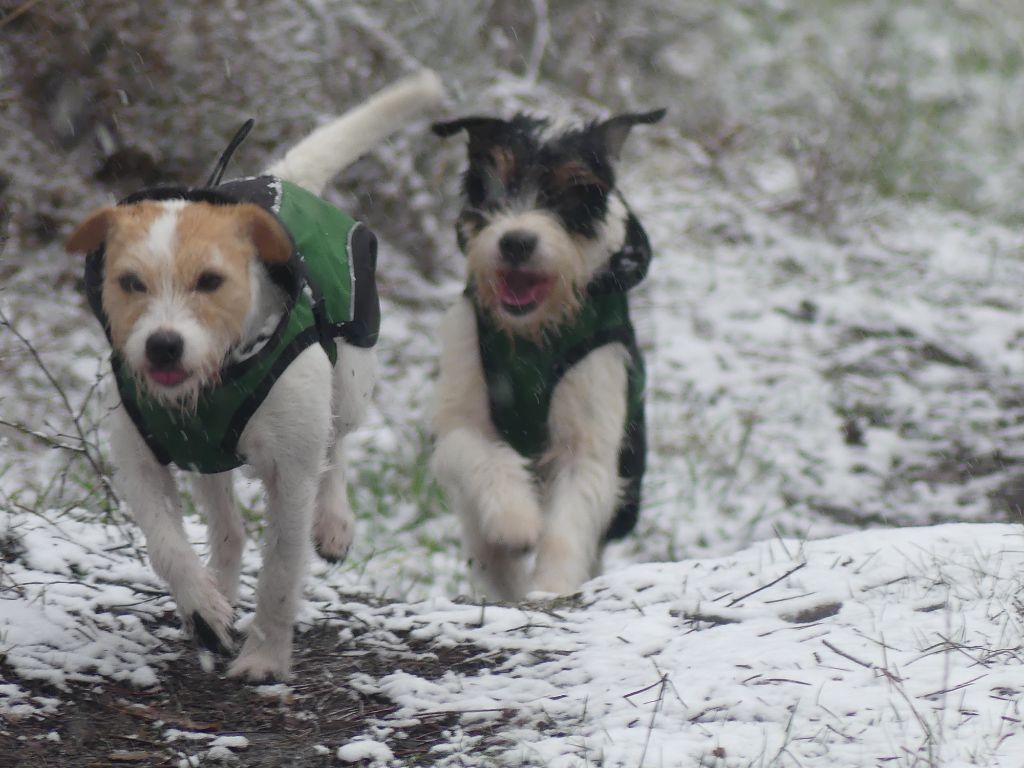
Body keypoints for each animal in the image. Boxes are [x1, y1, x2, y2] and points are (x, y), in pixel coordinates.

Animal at [65, 72, 444, 684]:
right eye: (129, 282)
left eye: (211, 280)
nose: (163, 344)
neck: (217, 379)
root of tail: (284, 179)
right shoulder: (140, 453)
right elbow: (165, 544)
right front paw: (203, 608)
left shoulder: (291, 472)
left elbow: (282, 570)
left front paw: (264, 658)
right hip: (204, 459)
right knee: (228, 526)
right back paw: (218, 586)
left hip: (351, 378)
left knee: (338, 442)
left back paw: (333, 521)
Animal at [425, 109, 659, 602]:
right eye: (494, 184)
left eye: (572, 190)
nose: (516, 242)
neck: (531, 334)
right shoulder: (457, 419)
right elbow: (483, 451)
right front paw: (516, 520)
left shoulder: (588, 440)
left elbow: (567, 524)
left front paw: (551, 589)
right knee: (486, 549)